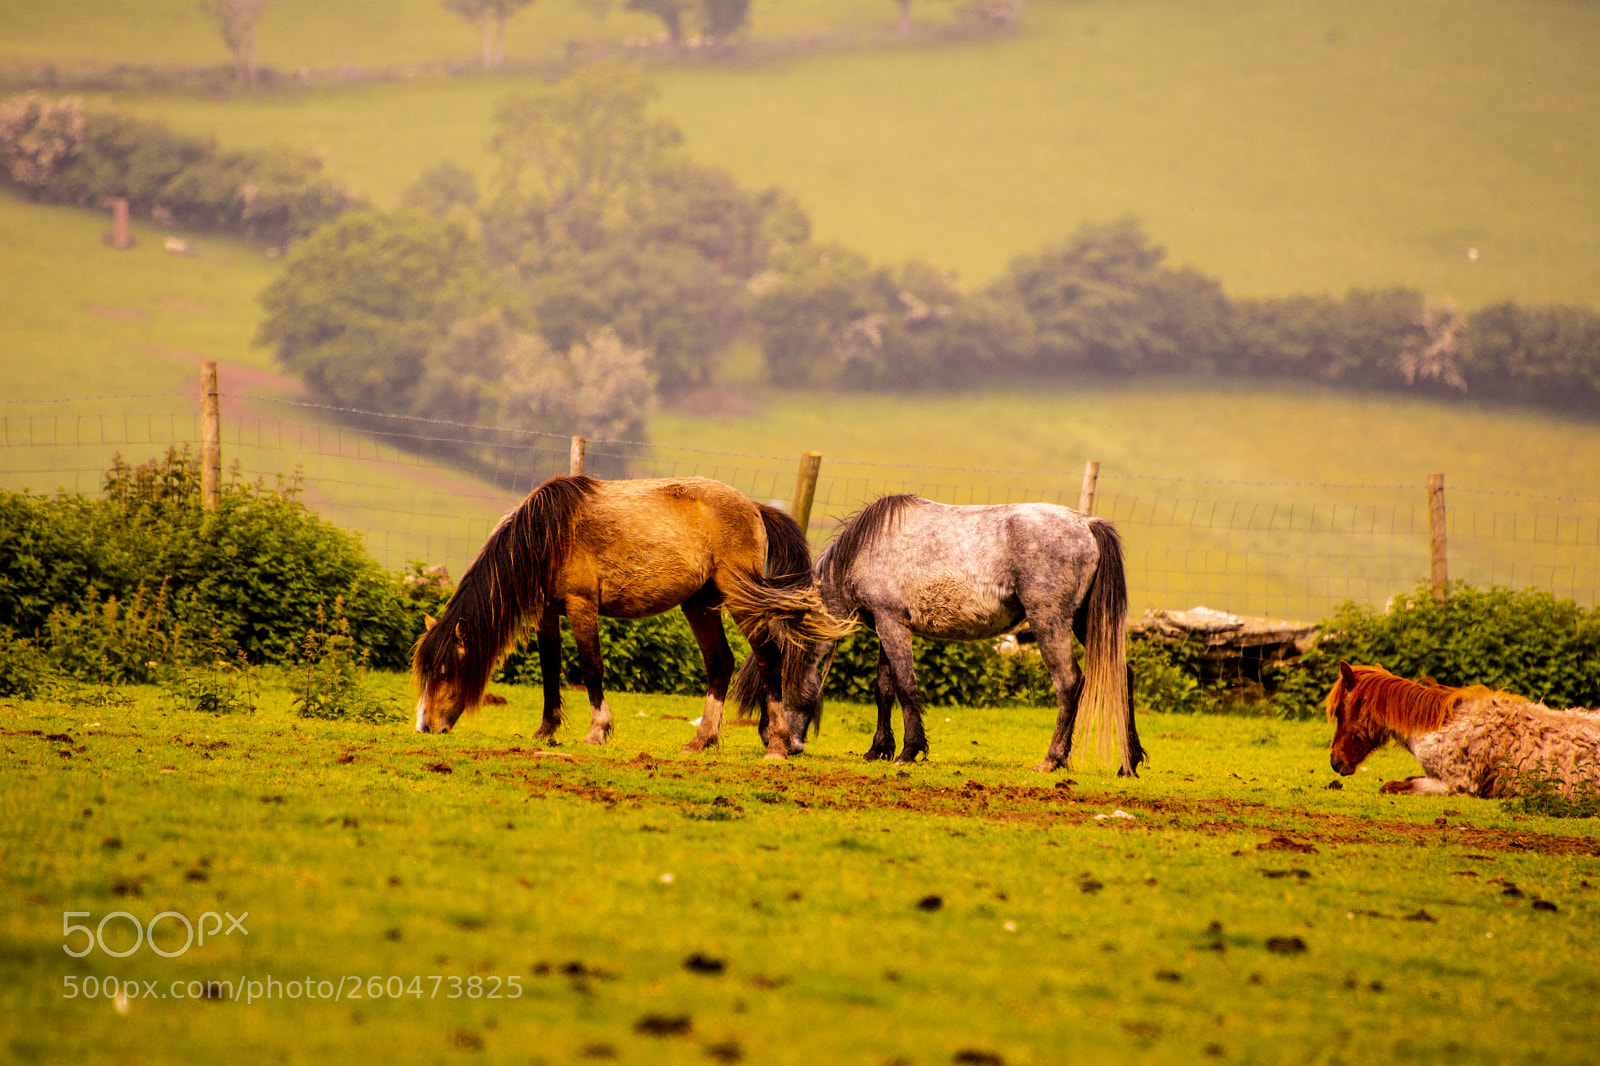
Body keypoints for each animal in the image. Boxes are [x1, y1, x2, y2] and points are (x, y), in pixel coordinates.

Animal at [412, 475, 854, 760]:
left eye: (447, 671)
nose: (426, 727)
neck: (550, 532)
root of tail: (755, 508)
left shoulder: (581, 605)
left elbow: (590, 668)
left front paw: (597, 731)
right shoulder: (548, 613)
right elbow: (551, 669)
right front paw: (546, 731)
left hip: (739, 599)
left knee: (768, 658)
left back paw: (777, 744)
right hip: (699, 604)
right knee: (720, 664)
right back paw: (701, 741)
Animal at [732, 494, 1145, 775]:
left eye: (774, 683)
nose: (771, 741)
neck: (864, 551)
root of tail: (1087, 524)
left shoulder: (892, 624)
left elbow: (905, 685)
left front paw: (908, 751)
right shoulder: (884, 626)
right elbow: (883, 688)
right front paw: (878, 749)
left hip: (1051, 622)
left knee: (1069, 683)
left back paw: (1052, 759)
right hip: (1084, 622)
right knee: (1122, 674)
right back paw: (1129, 761)